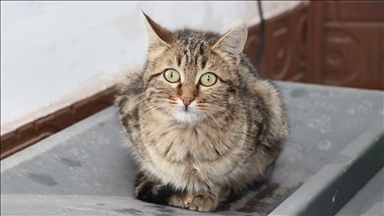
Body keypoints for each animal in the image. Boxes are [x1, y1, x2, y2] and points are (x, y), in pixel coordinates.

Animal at [115, 11, 290, 211]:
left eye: (208, 79)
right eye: (171, 75)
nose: (187, 99)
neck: (188, 139)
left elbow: (221, 179)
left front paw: (207, 194)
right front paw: (177, 192)